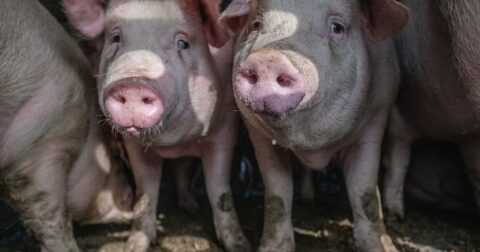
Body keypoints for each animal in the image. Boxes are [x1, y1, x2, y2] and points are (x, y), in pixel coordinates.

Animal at [62, 0, 249, 251]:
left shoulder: (225, 130)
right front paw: (133, 245)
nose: (133, 84)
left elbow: (219, 190)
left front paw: (240, 245)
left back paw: (191, 207)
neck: (172, 141)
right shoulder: (133, 145)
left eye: (183, 43)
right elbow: (145, 192)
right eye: (116, 38)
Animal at [220, 0, 408, 251]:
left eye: (337, 27)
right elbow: (277, 193)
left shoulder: (375, 120)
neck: (313, 147)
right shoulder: (260, 137)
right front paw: (273, 247)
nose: (269, 58)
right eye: (257, 24)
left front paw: (383, 246)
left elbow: (365, 192)